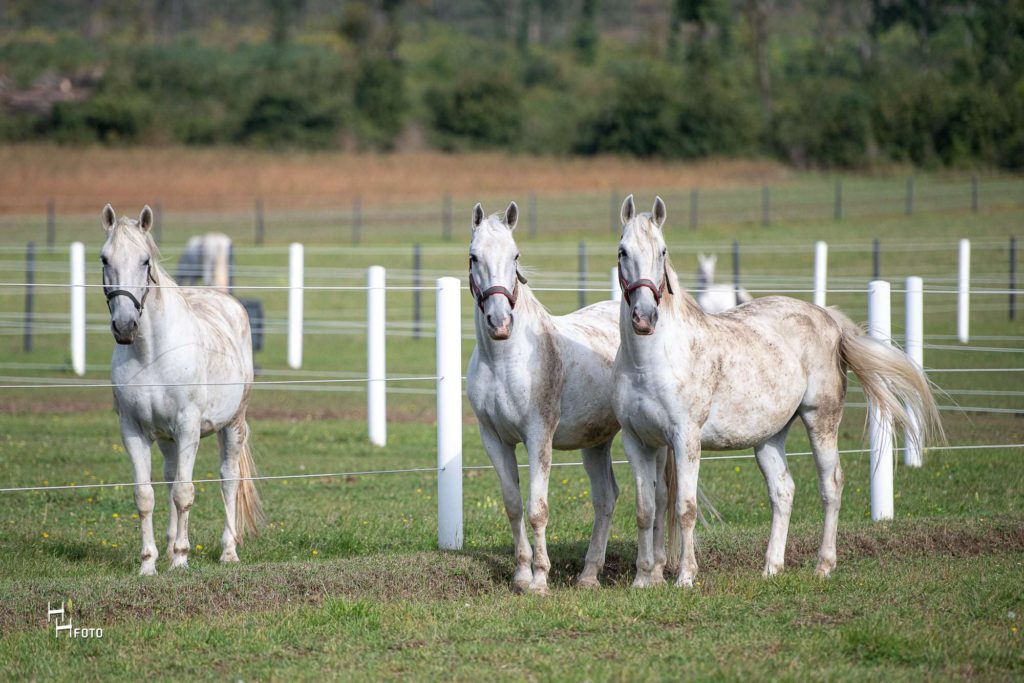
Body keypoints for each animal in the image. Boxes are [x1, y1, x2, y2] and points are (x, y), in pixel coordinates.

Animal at [100, 204, 262, 577]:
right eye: (104, 258)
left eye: (145, 260)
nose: (125, 326)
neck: (151, 354)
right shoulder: (133, 430)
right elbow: (146, 496)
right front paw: (149, 563)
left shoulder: (188, 426)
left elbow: (185, 493)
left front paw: (182, 559)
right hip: (167, 439)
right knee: (170, 478)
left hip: (233, 425)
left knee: (228, 479)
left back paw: (228, 551)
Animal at [610, 196, 937, 589]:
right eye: (622, 251)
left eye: (662, 251)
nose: (644, 317)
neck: (651, 362)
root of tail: (828, 318)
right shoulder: (638, 442)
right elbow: (646, 510)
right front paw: (643, 579)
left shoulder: (685, 440)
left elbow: (685, 508)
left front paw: (686, 578)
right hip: (769, 437)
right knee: (783, 491)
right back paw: (771, 567)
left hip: (820, 420)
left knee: (831, 484)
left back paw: (823, 565)